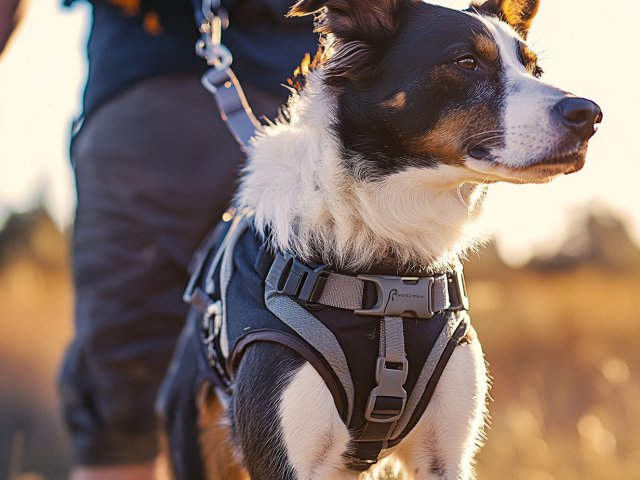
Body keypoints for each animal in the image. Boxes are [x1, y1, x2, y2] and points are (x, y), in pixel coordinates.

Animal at [164, 0, 600, 480]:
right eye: (466, 62)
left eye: (535, 70)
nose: (589, 115)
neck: (388, 266)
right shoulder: (284, 455)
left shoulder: (446, 455)